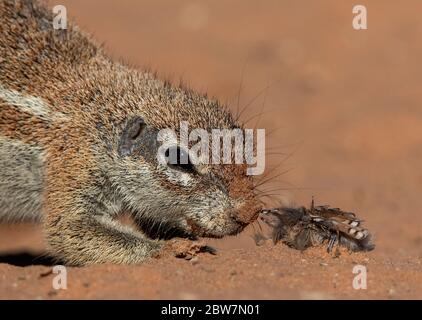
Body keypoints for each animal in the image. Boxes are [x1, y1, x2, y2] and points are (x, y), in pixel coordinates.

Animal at [0, 0, 262, 264]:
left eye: (242, 139)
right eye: (178, 159)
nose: (249, 212)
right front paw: (168, 249)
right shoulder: (75, 161)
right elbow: (68, 229)